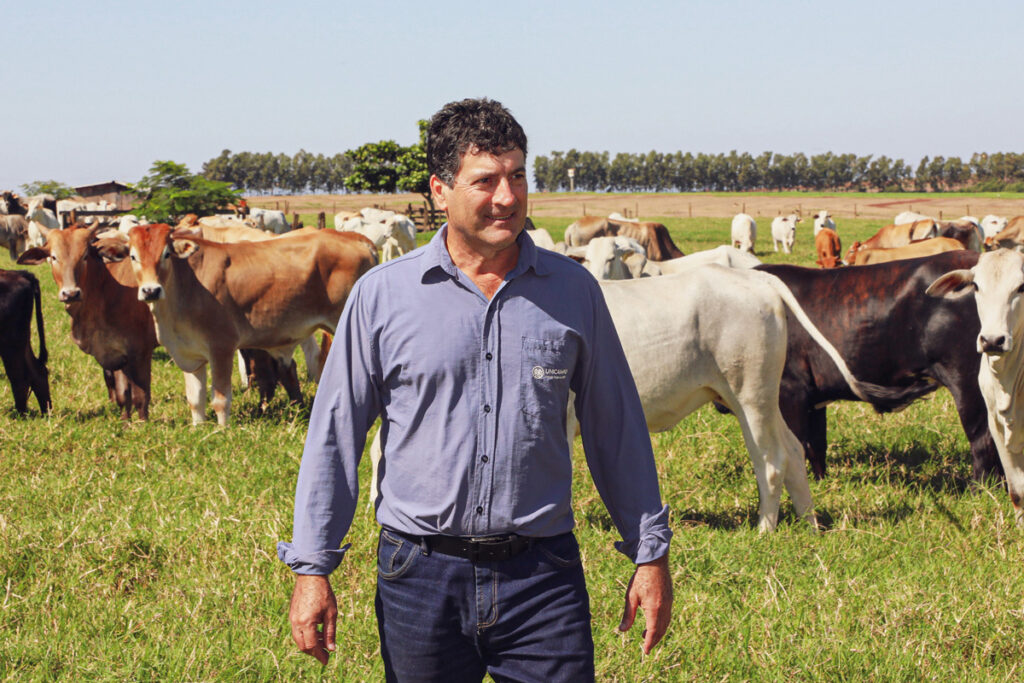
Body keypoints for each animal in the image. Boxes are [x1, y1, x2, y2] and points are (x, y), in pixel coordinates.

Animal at [0, 270, 50, 413]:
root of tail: (20, 273)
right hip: (22, 338)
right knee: (37, 372)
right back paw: (46, 412)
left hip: (11, 341)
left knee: (19, 377)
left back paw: (20, 414)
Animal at [17, 224, 155, 419]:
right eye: (53, 257)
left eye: (84, 256)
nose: (71, 293)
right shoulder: (116, 354)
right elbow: (122, 395)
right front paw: (125, 422)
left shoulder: (141, 351)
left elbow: (141, 398)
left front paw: (142, 424)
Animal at [113, 224, 376, 423]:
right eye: (133, 256)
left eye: (166, 254)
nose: (151, 290)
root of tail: (356, 238)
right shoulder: (189, 355)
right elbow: (195, 399)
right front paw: (199, 428)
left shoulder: (221, 347)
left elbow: (220, 400)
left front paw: (222, 431)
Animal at [761, 253, 999, 483]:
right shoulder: (814, 397)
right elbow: (816, 445)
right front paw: (821, 484)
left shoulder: (791, 389)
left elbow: (798, 445)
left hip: (967, 380)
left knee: (983, 438)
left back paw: (980, 488)